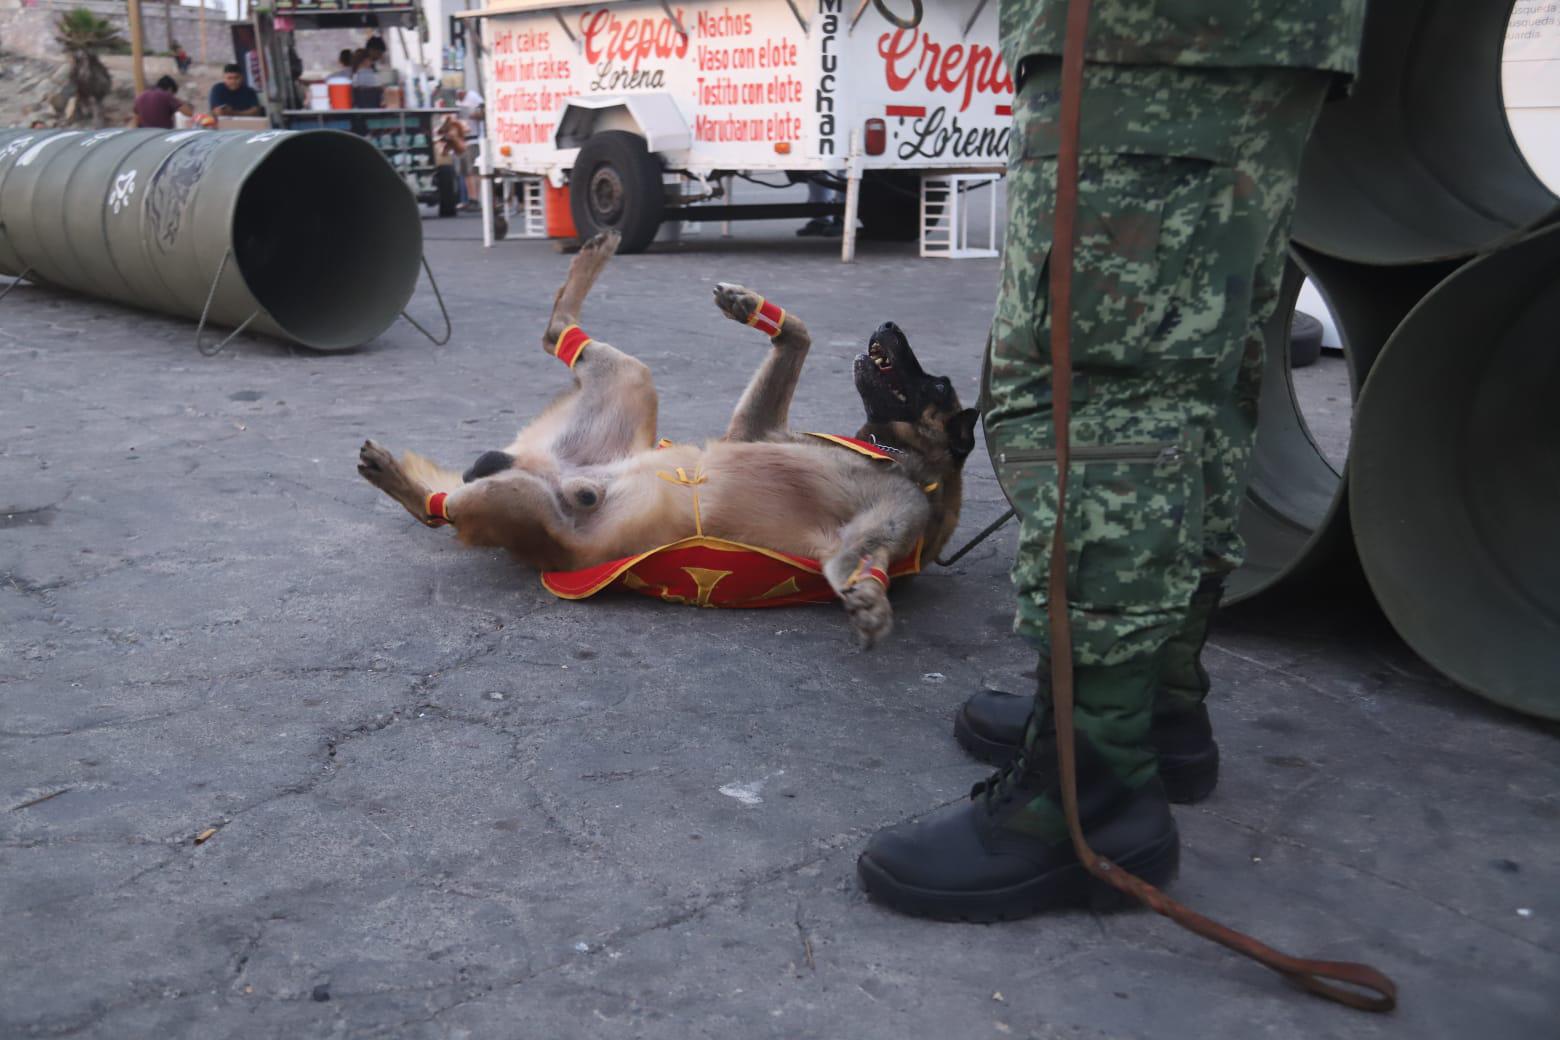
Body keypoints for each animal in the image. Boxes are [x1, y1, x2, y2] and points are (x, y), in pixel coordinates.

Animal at [358, 232, 979, 645]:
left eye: (939, 383)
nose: (890, 326)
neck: (898, 458)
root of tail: (540, 465)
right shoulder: (751, 431)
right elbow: (798, 341)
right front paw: (753, 308)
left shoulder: (886, 522)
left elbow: (857, 559)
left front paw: (870, 599)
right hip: (627, 383)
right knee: (557, 332)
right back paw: (595, 254)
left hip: (524, 503)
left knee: (442, 507)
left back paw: (397, 479)